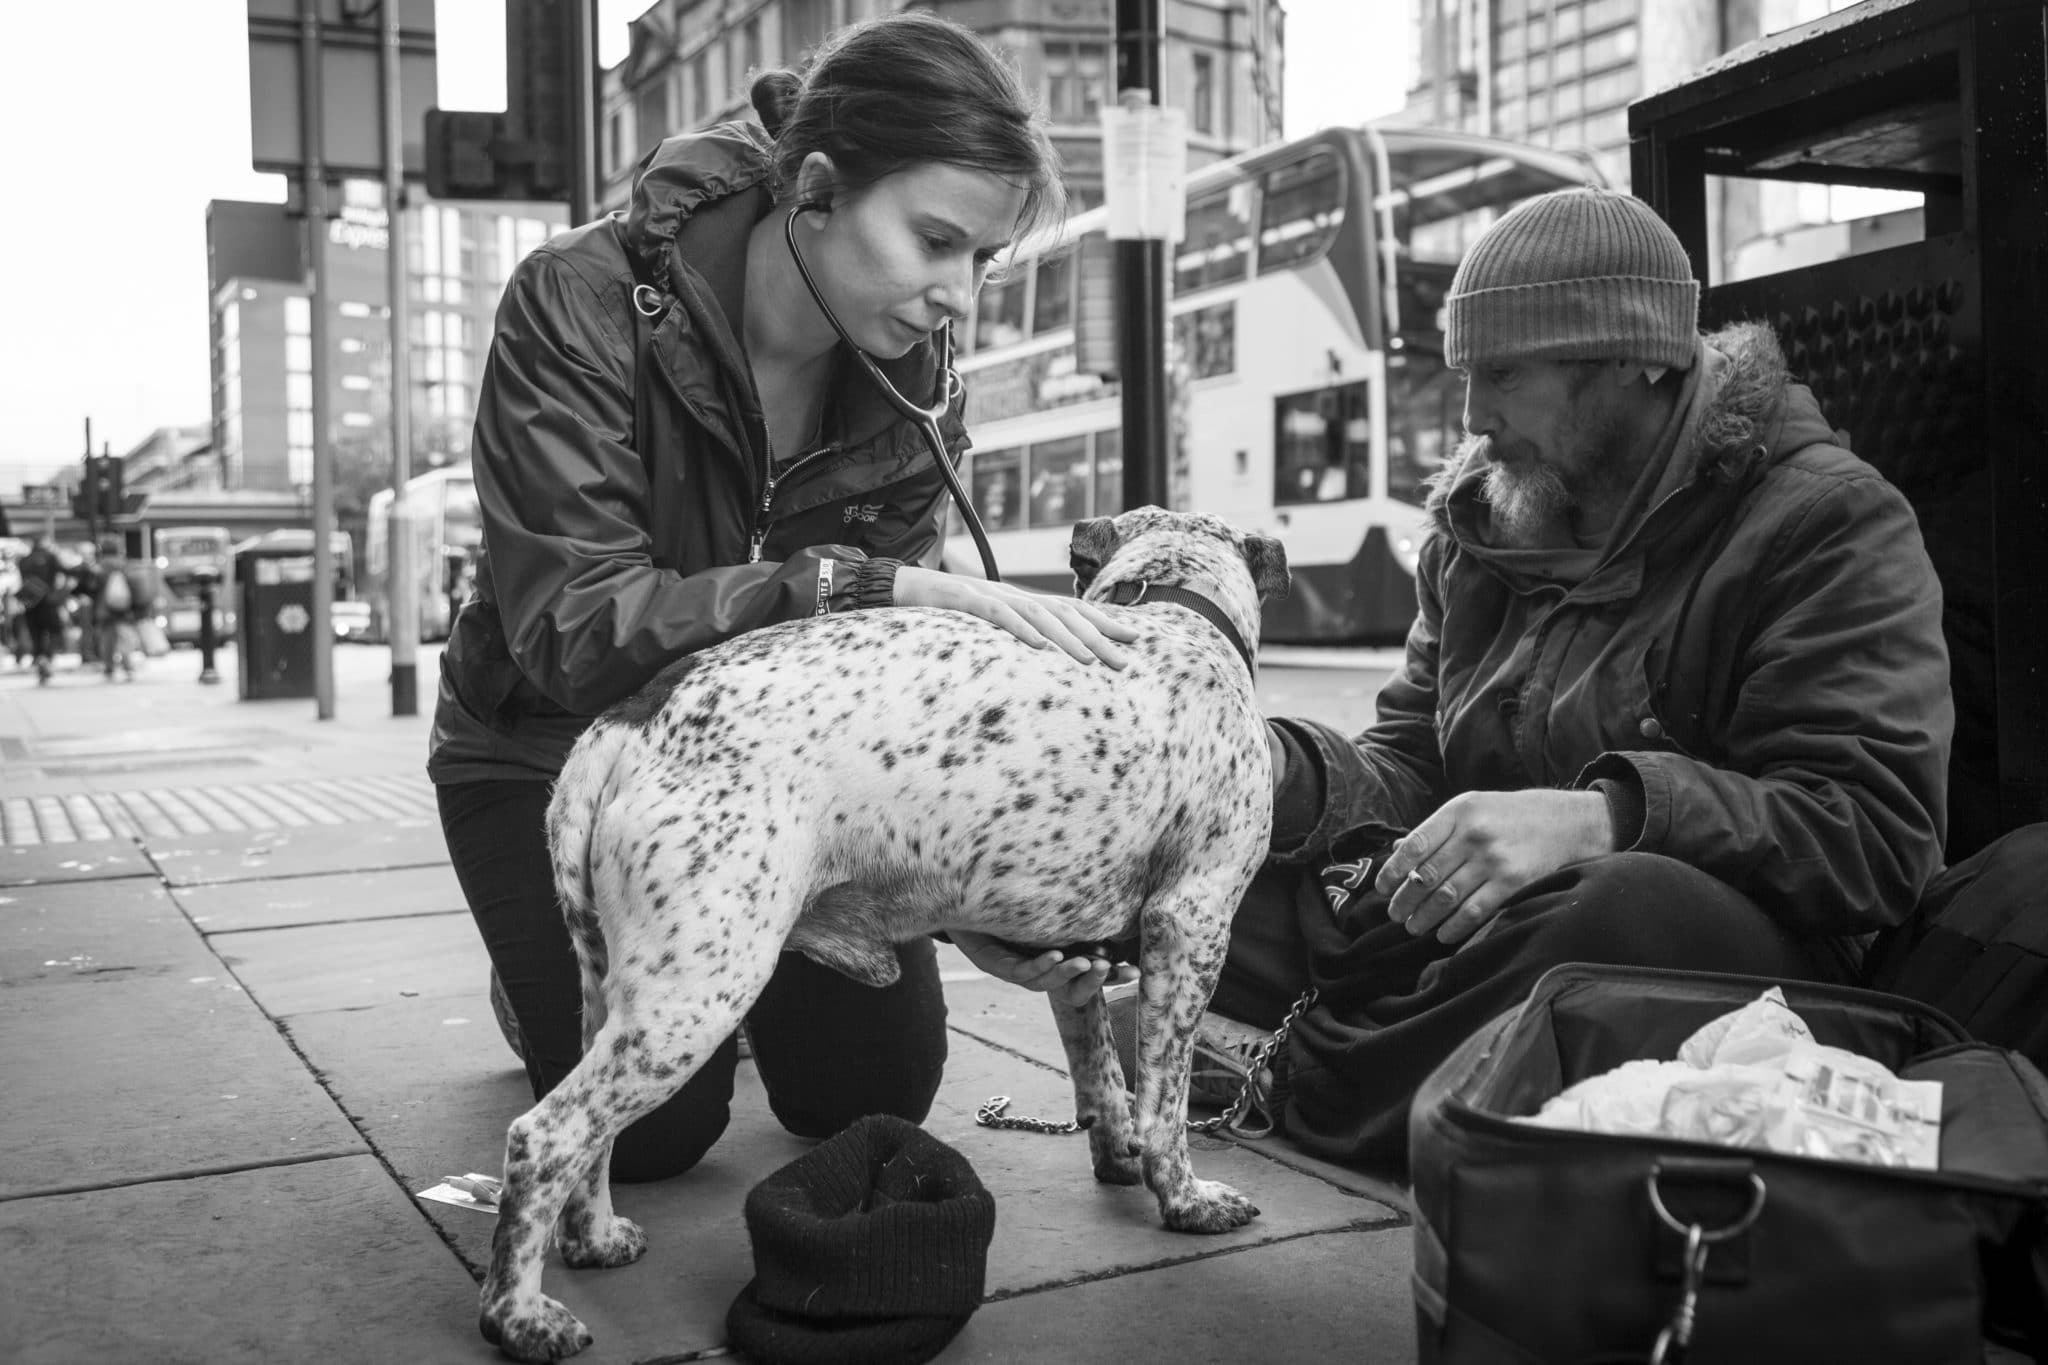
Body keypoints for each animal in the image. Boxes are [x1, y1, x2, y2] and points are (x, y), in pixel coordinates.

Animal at [471, 507, 1286, 1358]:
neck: (1169, 607)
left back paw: (593, 1235)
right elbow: (1166, 1097)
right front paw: (1185, 1195)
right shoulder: (1191, 922)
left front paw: (1118, 1149)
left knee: (591, 1138)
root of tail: (633, 717)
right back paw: (519, 1313)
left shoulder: (1078, 965)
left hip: (614, 997)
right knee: (545, 1134)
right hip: (692, 1000)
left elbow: (1103, 1070)